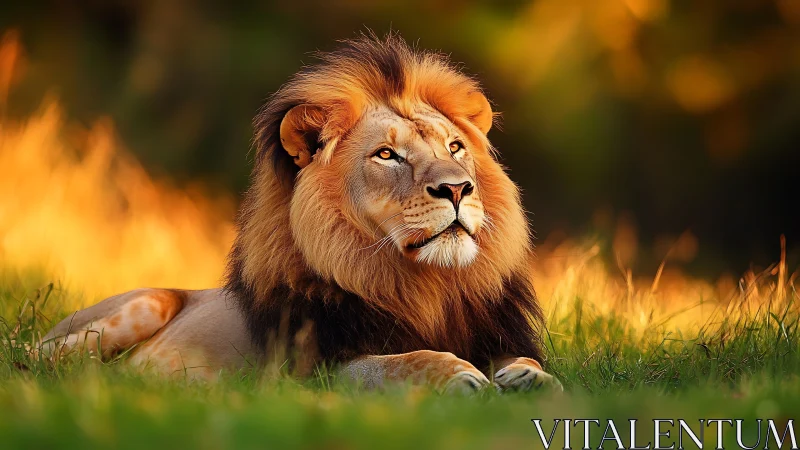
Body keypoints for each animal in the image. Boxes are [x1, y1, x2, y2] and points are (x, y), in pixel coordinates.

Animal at [41, 33, 560, 393]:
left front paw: (530, 378)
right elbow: (395, 362)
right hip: (138, 306)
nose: (456, 188)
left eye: (454, 147)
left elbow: (531, 363)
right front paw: (456, 373)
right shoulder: (316, 371)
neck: (427, 285)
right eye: (387, 155)